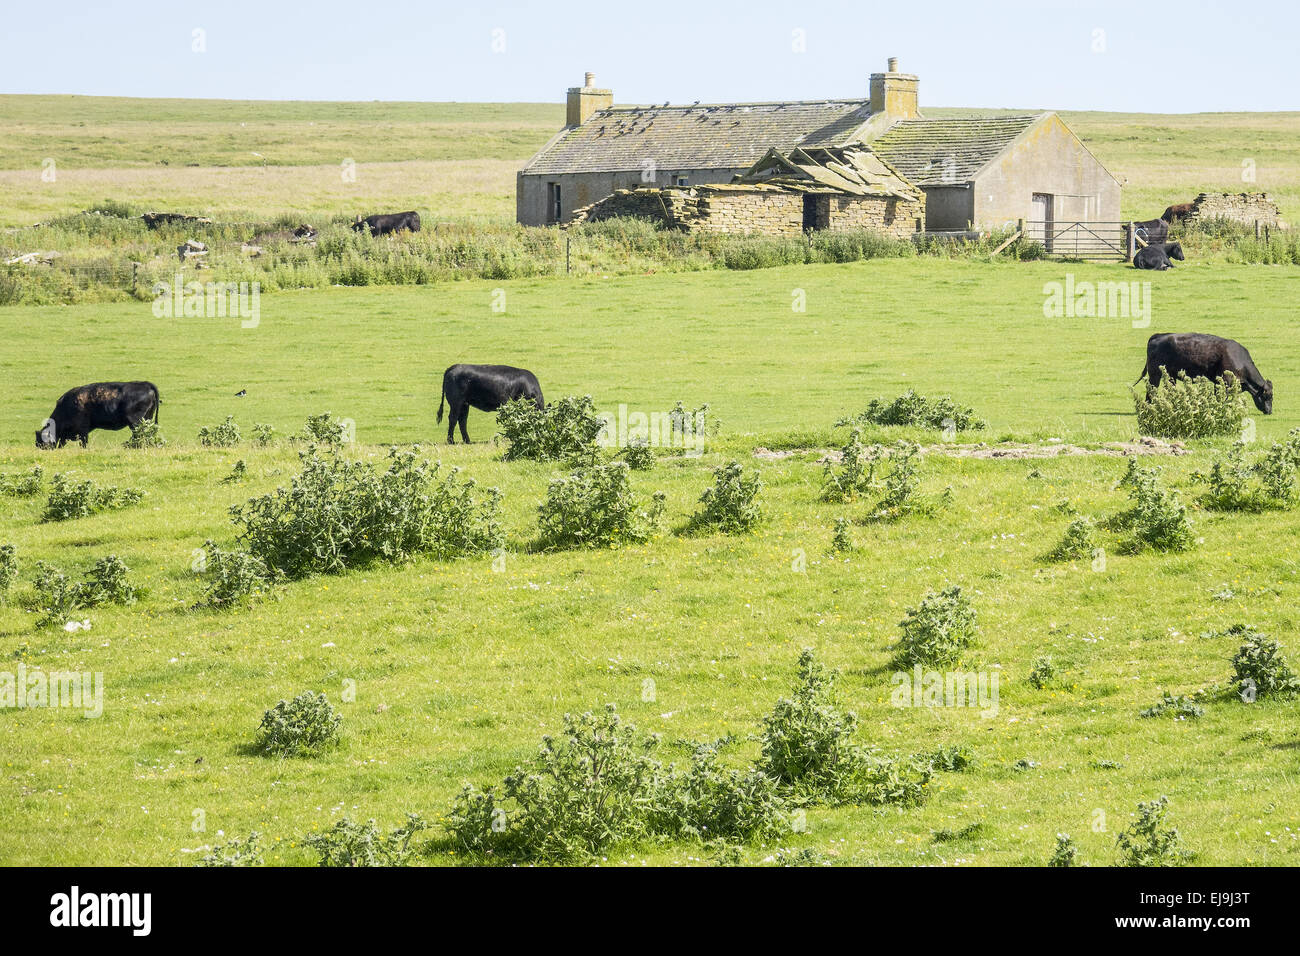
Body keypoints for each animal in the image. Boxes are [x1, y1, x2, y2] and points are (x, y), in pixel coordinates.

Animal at [1133, 335, 1274, 413]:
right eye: (1267, 396)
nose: (1269, 411)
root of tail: (1158, 335)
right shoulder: (1224, 381)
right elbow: (1221, 398)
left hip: (1170, 376)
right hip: (1154, 374)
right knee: (1151, 391)